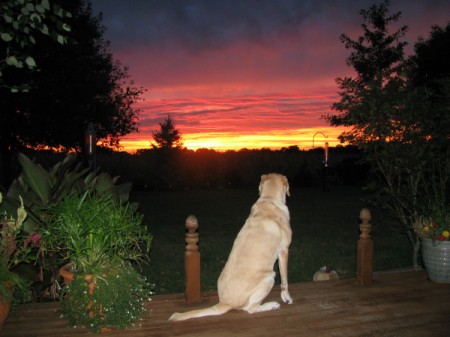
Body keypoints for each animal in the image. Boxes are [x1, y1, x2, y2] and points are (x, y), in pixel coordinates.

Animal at [169, 173, 292, 320]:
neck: (269, 198)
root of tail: (224, 303)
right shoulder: (284, 251)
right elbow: (285, 280)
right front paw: (286, 297)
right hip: (269, 276)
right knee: (251, 308)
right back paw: (270, 305)